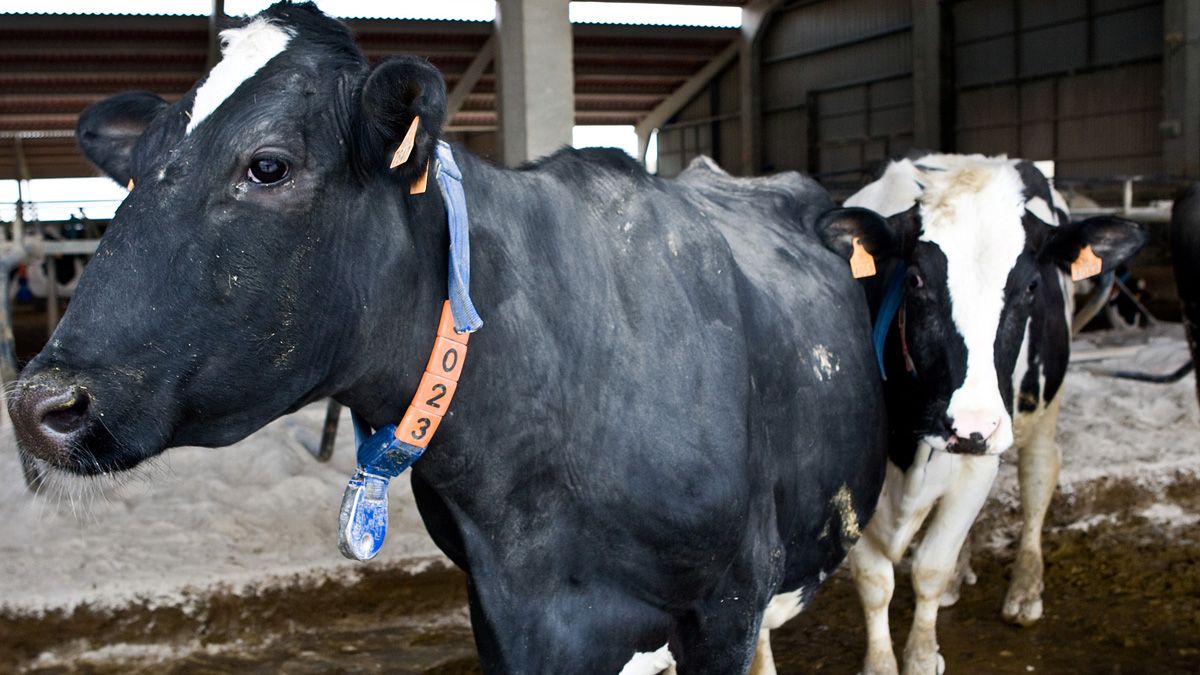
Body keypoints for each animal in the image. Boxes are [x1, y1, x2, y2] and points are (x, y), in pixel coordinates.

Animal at [816, 153, 1142, 672]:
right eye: (915, 279)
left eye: (1031, 285)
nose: (971, 425)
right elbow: (875, 582)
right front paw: (882, 662)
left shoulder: (985, 450)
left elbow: (929, 566)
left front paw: (922, 655)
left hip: (1038, 408)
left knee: (1038, 476)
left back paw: (1025, 589)